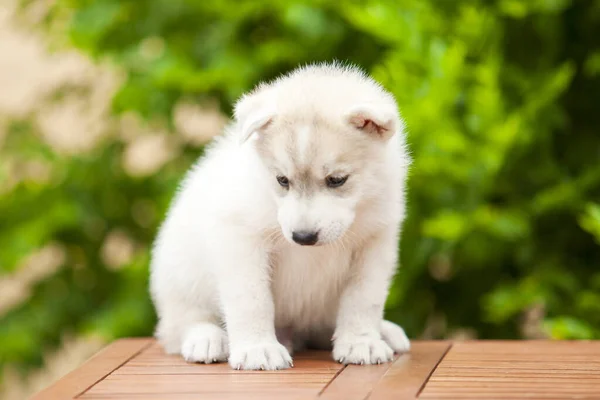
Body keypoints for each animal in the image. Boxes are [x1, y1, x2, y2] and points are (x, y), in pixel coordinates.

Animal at [151, 62, 412, 372]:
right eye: (282, 180)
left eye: (337, 180)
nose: (303, 237)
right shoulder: (242, 240)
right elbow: (252, 299)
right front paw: (257, 348)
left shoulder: (375, 242)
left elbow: (364, 298)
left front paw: (361, 342)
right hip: (182, 275)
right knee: (182, 324)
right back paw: (207, 339)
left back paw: (385, 331)